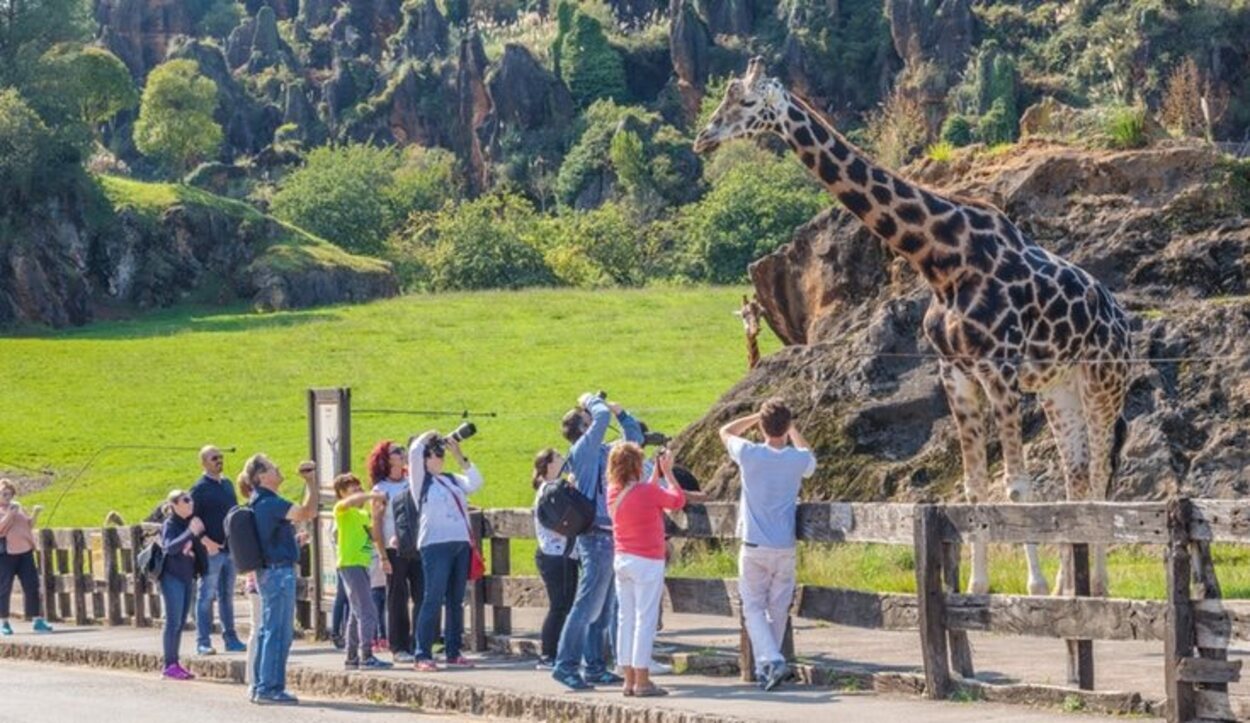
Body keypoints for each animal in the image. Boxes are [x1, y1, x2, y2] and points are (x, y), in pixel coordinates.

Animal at [695, 56, 1135, 595]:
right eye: (724, 99)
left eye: (747, 102)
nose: (704, 138)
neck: (941, 259)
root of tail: (1122, 318)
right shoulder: (957, 373)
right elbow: (974, 487)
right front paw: (979, 587)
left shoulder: (1000, 369)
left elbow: (1016, 486)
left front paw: (1028, 588)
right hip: (1059, 387)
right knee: (1077, 475)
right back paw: (1067, 589)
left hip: (1103, 379)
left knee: (1100, 473)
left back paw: (1096, 587)